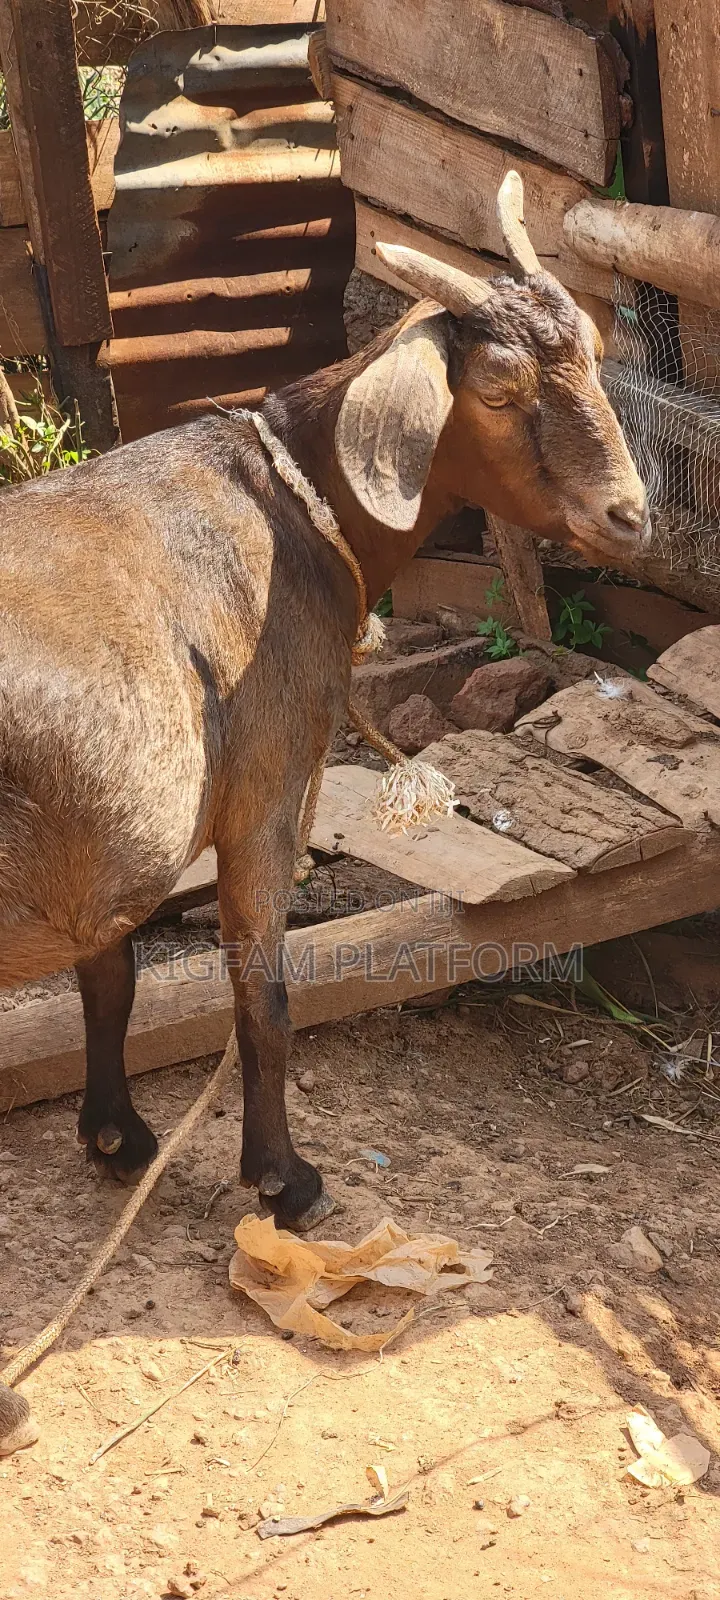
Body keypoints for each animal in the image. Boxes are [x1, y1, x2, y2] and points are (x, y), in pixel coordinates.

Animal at [0, 176, 648, 1234]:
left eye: (593, 353)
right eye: (498, 390)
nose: (629, 515)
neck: (295, 504)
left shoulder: (109, 849)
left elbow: (110, 970)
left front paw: (116, 1138)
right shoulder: (263, 787)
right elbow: (261, 995)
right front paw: (282, 1180)